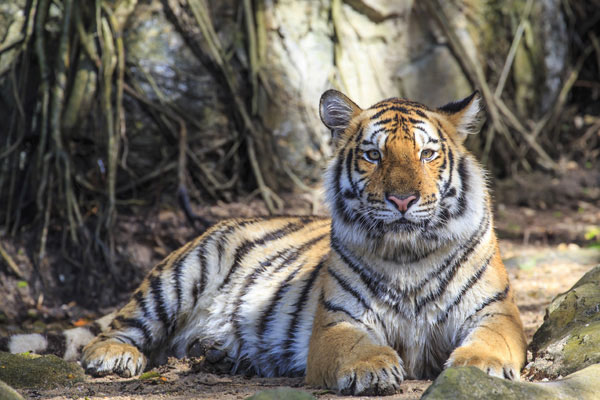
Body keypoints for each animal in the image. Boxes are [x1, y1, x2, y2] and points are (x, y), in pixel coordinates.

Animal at [1, 90, 524, 394]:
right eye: (373, 155)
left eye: (427, 154)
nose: (401, 199)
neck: (408, 253)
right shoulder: (337, 322)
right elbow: (356, 346)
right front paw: (373, 368)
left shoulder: (496, 312)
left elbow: (491, 342)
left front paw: (479, 369)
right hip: (180, 274)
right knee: (116, 330)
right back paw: (116, 356)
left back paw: (220, 356)